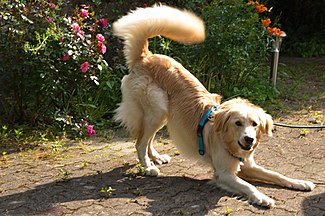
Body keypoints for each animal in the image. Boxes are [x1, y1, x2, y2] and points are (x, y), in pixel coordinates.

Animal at [113, 5, 314, 207]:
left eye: (255, 124)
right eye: (237, 123)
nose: (249, 139)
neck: (229, 142)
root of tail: (146, 57)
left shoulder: (249, 165)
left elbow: (276, 174)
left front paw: (300, 182)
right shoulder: (224, 174)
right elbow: (249, 186)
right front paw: (262, 197)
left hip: (161, 114)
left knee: (148, 139)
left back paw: (156, 157)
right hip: (157, 110)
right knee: (140, 142)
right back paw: (148, 167)